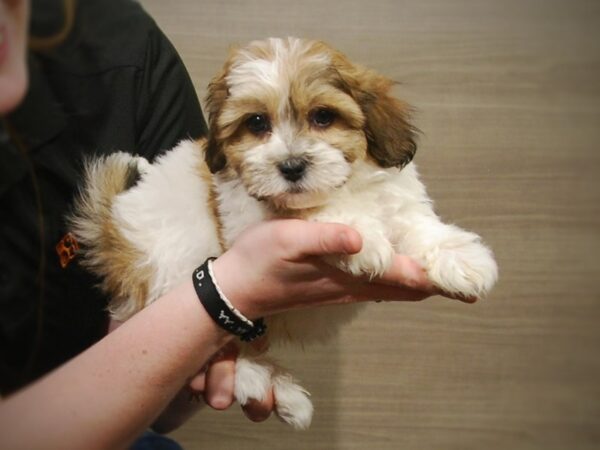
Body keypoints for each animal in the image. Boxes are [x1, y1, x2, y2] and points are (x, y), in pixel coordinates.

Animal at [69, 37, 496, 428]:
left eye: (323, 117)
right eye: (257, 123)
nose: (291, 167)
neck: (346, 187)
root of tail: (111, 228)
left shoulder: (397, 198)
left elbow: (418, 225)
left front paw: (462, 257)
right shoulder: (248, 217)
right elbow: (313, 211)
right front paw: (361, 237)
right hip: (174, 269)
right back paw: (262, 381)